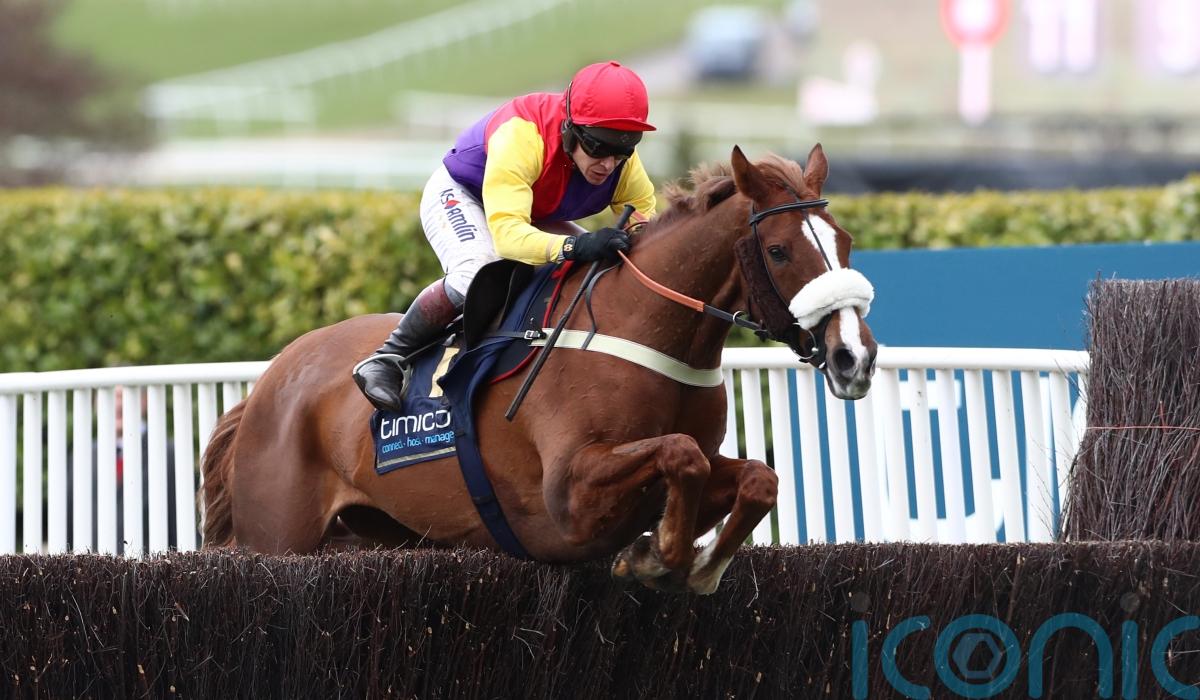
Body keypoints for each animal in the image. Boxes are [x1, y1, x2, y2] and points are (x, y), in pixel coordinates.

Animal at [200, 145, 877, 594]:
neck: (645, 328)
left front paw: (693, 564)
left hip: (375, 532)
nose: (855, 357)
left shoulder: (698, 470)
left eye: (844, 241)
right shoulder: (568, 498)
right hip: (277, 537)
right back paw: (381, 372)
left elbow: (758, 478)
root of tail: (270, 381)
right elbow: (679, 452)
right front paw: (660, 557)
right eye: (780, 250)